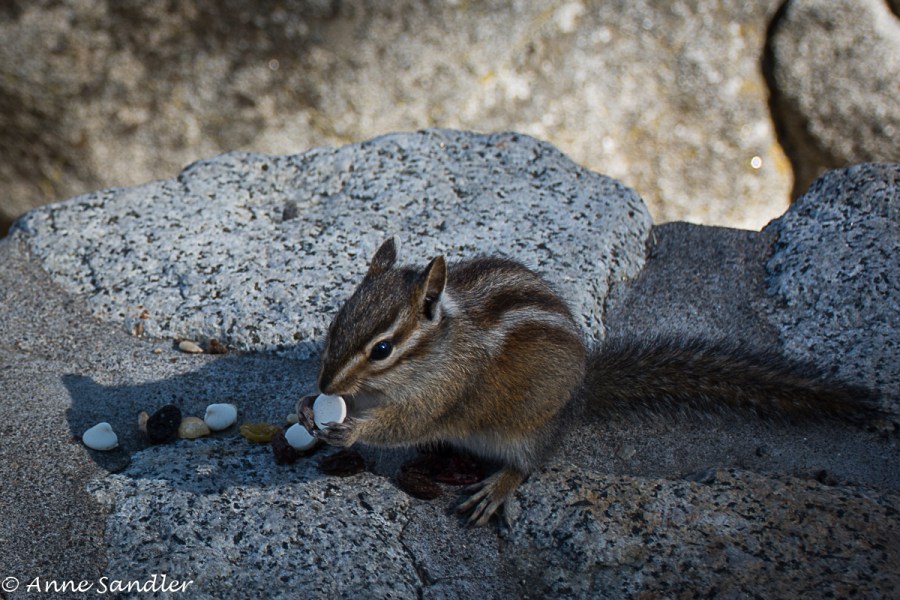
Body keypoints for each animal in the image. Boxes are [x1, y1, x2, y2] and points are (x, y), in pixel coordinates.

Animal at [296, 237, 882, 526]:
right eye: (337, 322)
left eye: (382, 349)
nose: (326, 379)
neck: (438, 349)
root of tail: (579, 394)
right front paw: (307, 405)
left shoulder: (445, 393)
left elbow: (406, 425)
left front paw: (352, 428)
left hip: (527, 431)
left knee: (528, 464)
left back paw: (496, 488)